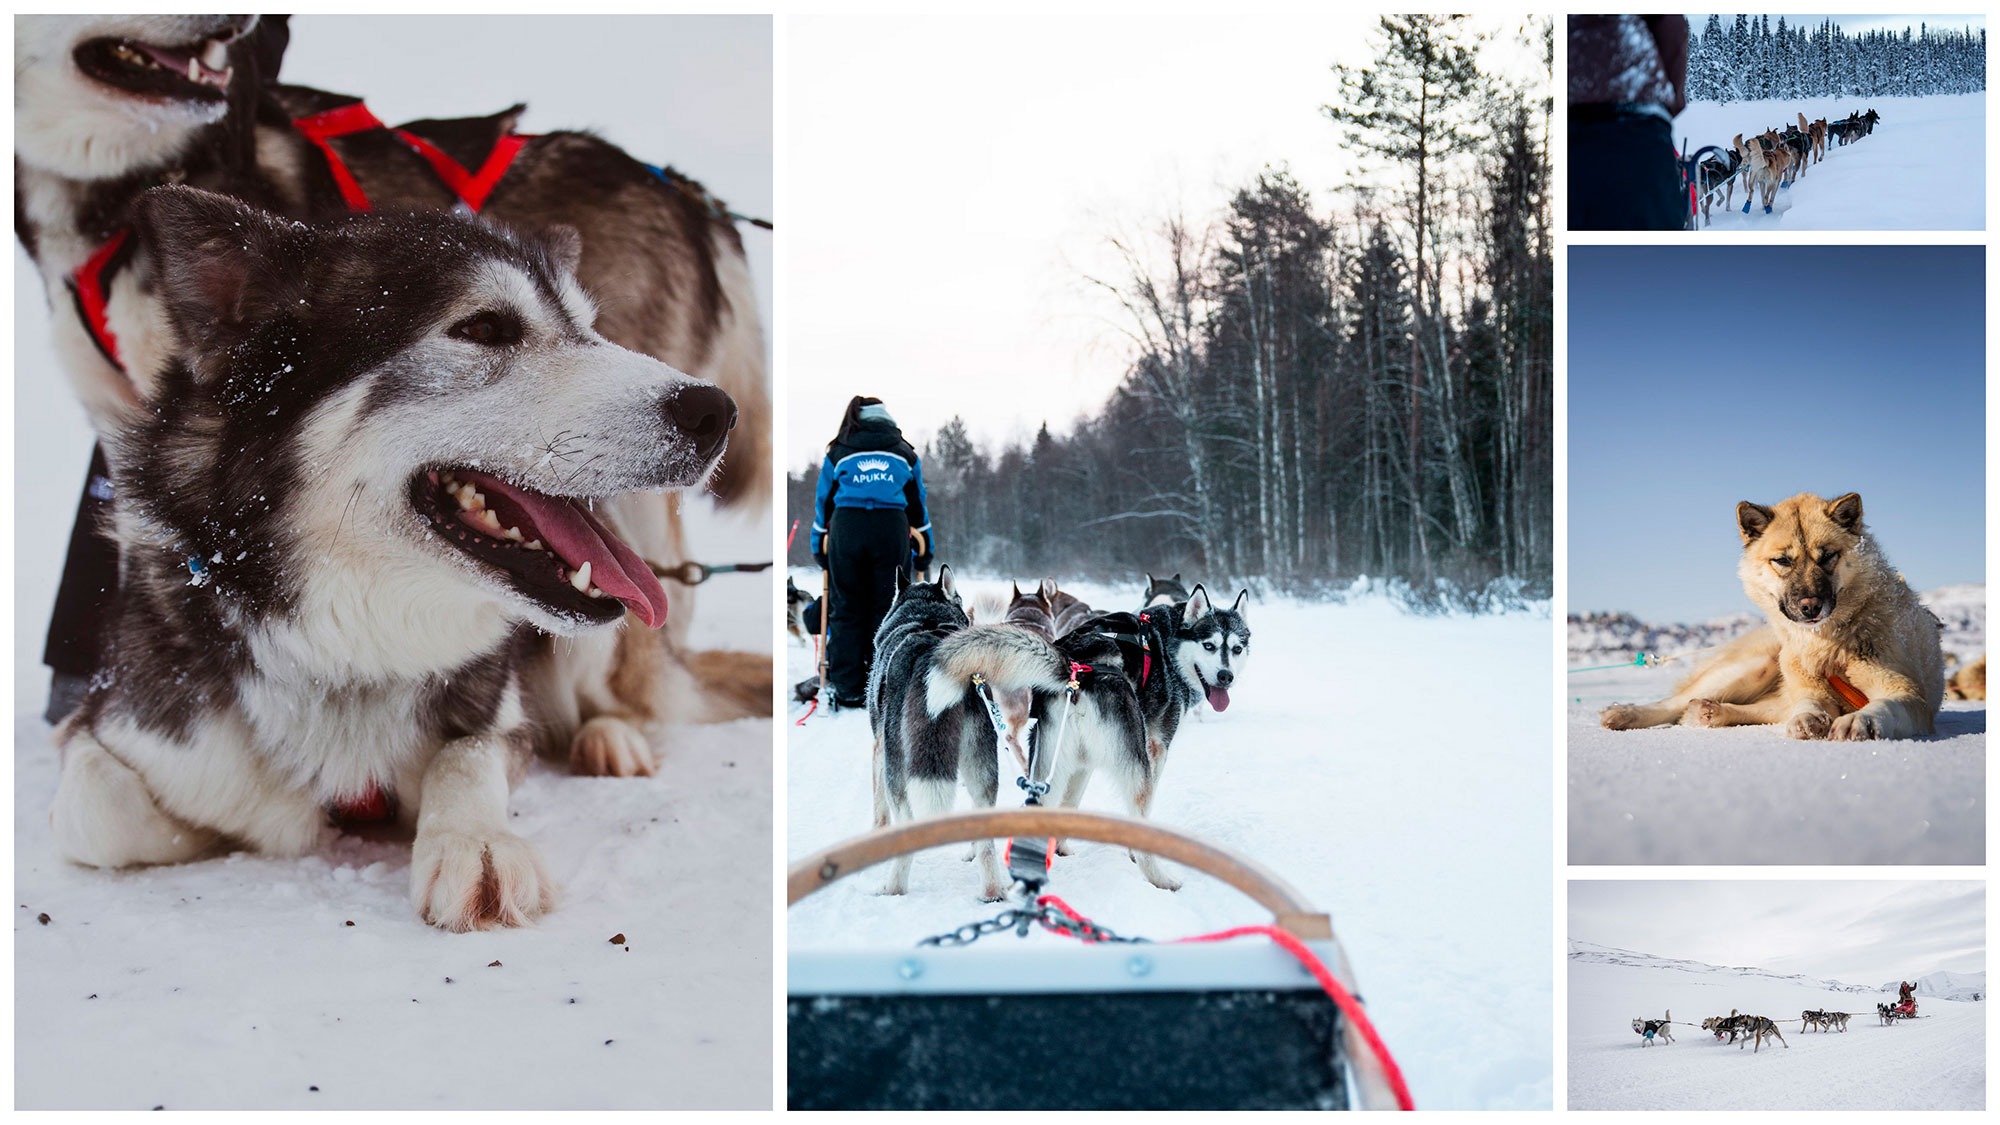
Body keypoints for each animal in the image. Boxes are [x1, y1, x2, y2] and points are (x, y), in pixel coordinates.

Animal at [50, 188, 732, 928]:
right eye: (485, 327)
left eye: (589, 328)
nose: (715, 412)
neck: (350, 648)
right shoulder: (120, 725)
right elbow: (99, 811)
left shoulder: (501, 720)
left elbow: (467, 753)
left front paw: (477, 841)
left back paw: (610, 738)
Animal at [872, 568, 1016, 892]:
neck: (927, 619)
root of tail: (933, 651)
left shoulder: (879, 750)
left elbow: (880, 812)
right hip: (981, 764)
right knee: (986, 842)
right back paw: (993, 891)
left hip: (898, 767)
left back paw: (892, 888)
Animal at [1600, 488, 1944, 736]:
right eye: (1783, 561)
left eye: (1827, 556)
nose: (1810, 606)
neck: (1827, 644)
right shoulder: (1807, 687)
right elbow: (1808, 703)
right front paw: (1809, 717)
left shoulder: (1908, 694)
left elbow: (1886, 706)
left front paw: (1860, 721)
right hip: (1753, 666)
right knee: (1673, 703)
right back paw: (1625, 712)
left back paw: (1712, 712)